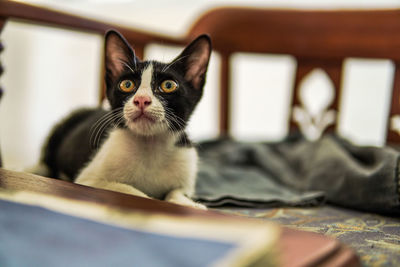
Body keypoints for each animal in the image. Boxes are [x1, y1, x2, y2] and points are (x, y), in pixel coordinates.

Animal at [34, 30, 212, 210]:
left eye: (168, 85)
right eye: (127, 84)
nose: (141, 100)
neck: (150, 147)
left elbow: (176, 191)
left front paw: (191, 204)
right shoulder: (87, 179)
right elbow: (131, 191)